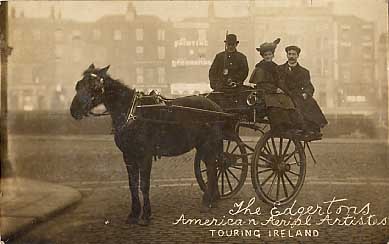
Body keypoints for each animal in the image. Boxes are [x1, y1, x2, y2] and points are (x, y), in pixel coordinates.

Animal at [68, 64, 223, 225]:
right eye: (78, 85)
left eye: (95, 86)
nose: (74, 110)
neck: (133, 114)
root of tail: (216, 107)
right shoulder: (128, 156)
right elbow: (133, 185)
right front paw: (134, 213)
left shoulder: (145, 155)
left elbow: (144, 185)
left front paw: (145, 215)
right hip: (203, 146)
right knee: (213, 168)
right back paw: (213, 199)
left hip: (208, 144)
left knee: (212, 169)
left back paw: (207, 201)